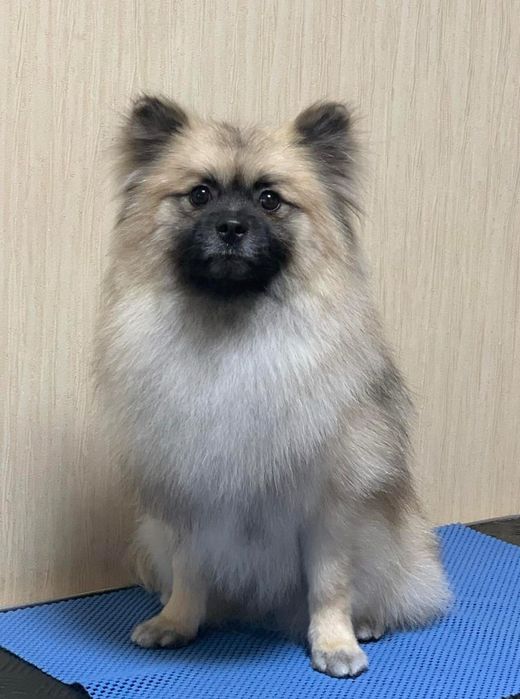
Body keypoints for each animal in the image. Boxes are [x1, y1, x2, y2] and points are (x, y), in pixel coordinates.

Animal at [95, 96, 450, 677]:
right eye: (200, 194)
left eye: (269, 200)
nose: (232, 227)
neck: (231, 330)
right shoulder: (190, 495)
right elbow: (190, 571)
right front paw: (178, 622)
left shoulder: (329, 505)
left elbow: (330, 584)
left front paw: (335, 643)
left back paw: (367, 622)